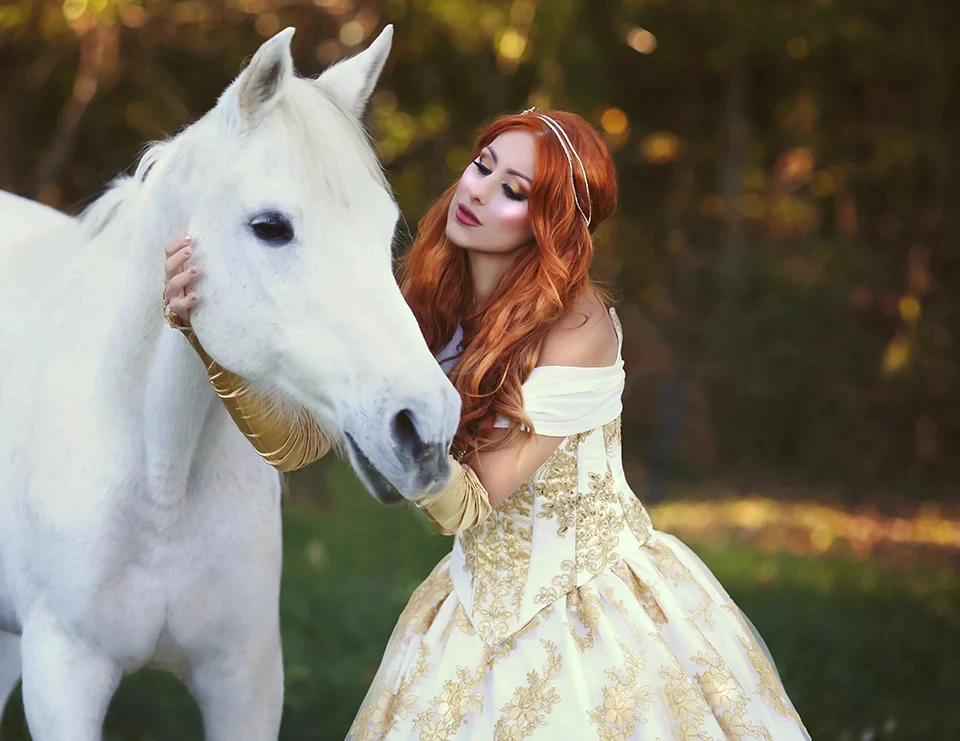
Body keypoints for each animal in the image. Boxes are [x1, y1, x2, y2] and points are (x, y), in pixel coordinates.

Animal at [0, 24, 462, 740]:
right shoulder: (62, 678)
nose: (426, 428)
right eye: (270, 227)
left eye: (384, 230)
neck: (161, 480)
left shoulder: (244, 680)